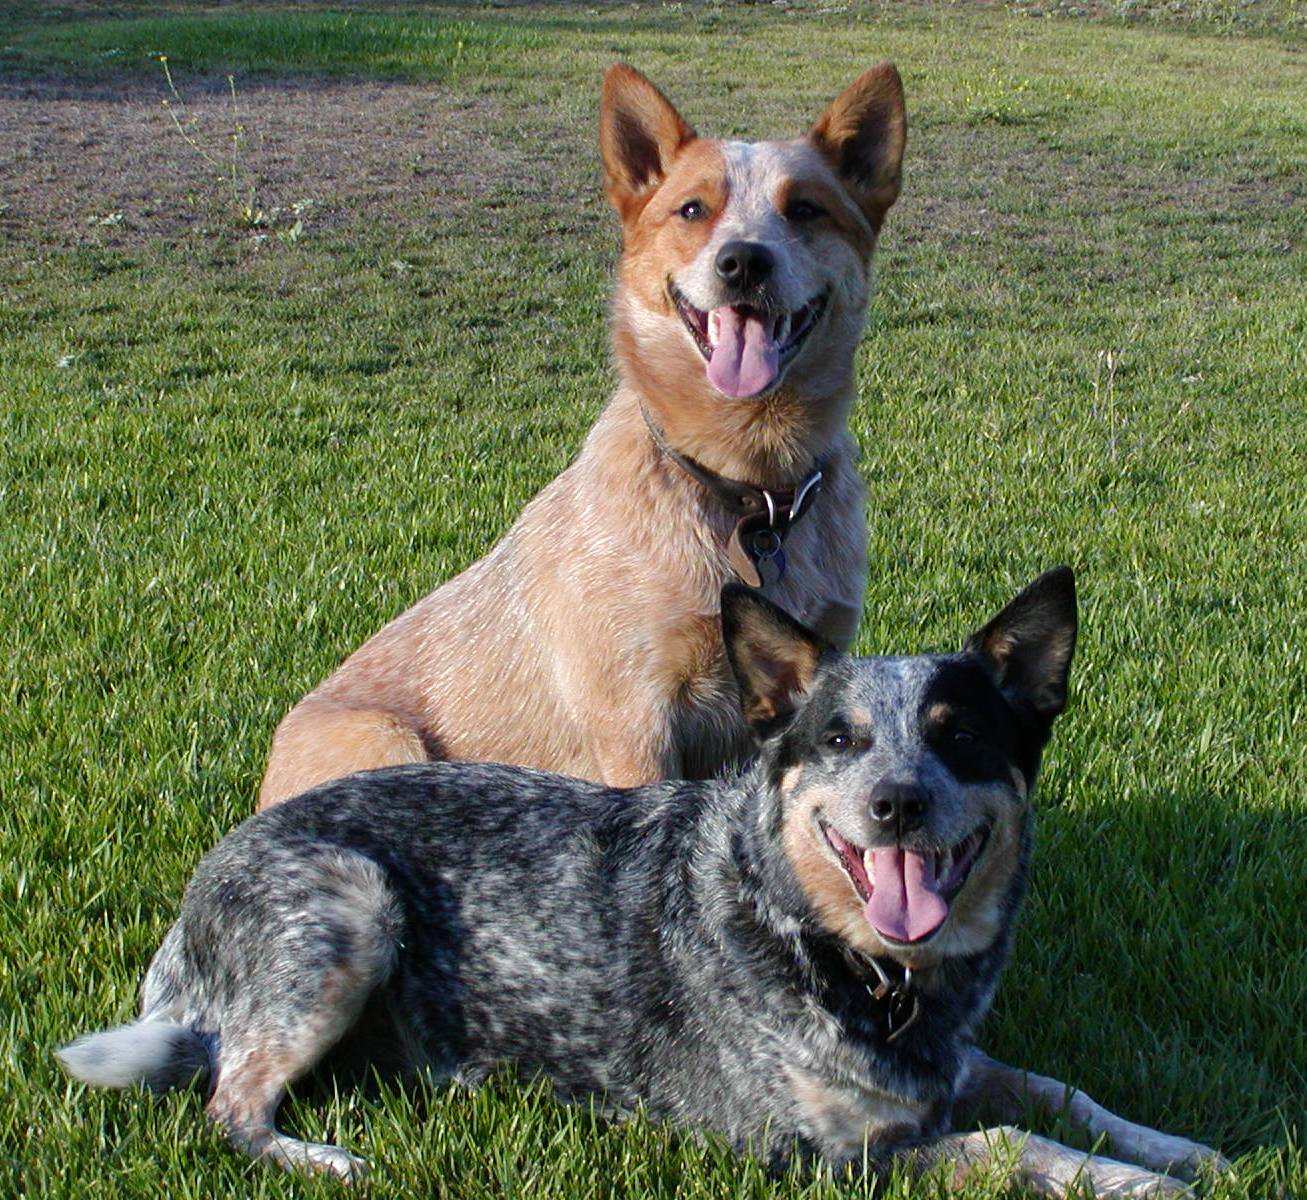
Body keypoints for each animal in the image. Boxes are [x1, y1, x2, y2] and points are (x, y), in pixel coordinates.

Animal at [58, 569, 1223, 1192]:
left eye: (959, 735)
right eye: (838, 739)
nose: (896, 800)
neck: (832, 952)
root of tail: (197, 895)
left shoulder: (944, 1068)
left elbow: (1058, 1091)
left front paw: (1182, 1147)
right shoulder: (804, 1154)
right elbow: (1008, 1141)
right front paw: (1134, 1183)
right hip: (350, 902)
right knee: (227, 1101)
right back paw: (324, 1161)